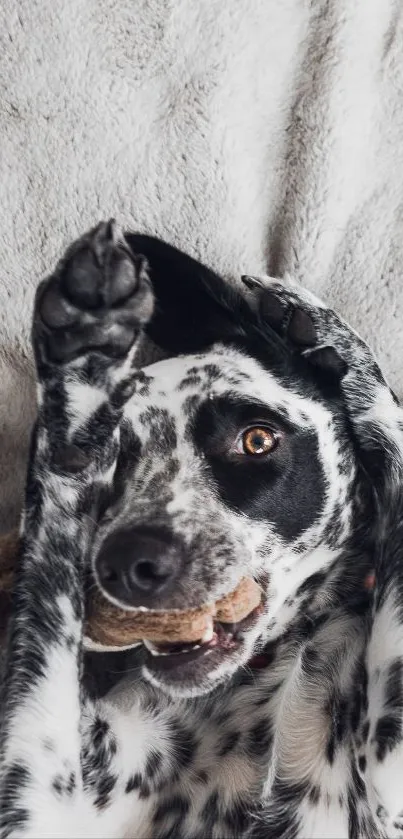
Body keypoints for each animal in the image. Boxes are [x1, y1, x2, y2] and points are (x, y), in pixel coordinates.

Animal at [0, 220, 403, 836]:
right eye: (114, 465)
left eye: (257, 439)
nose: (129, 564)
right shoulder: (42, 800)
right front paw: (81, 365)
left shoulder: (389, 773)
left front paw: (332, 341)